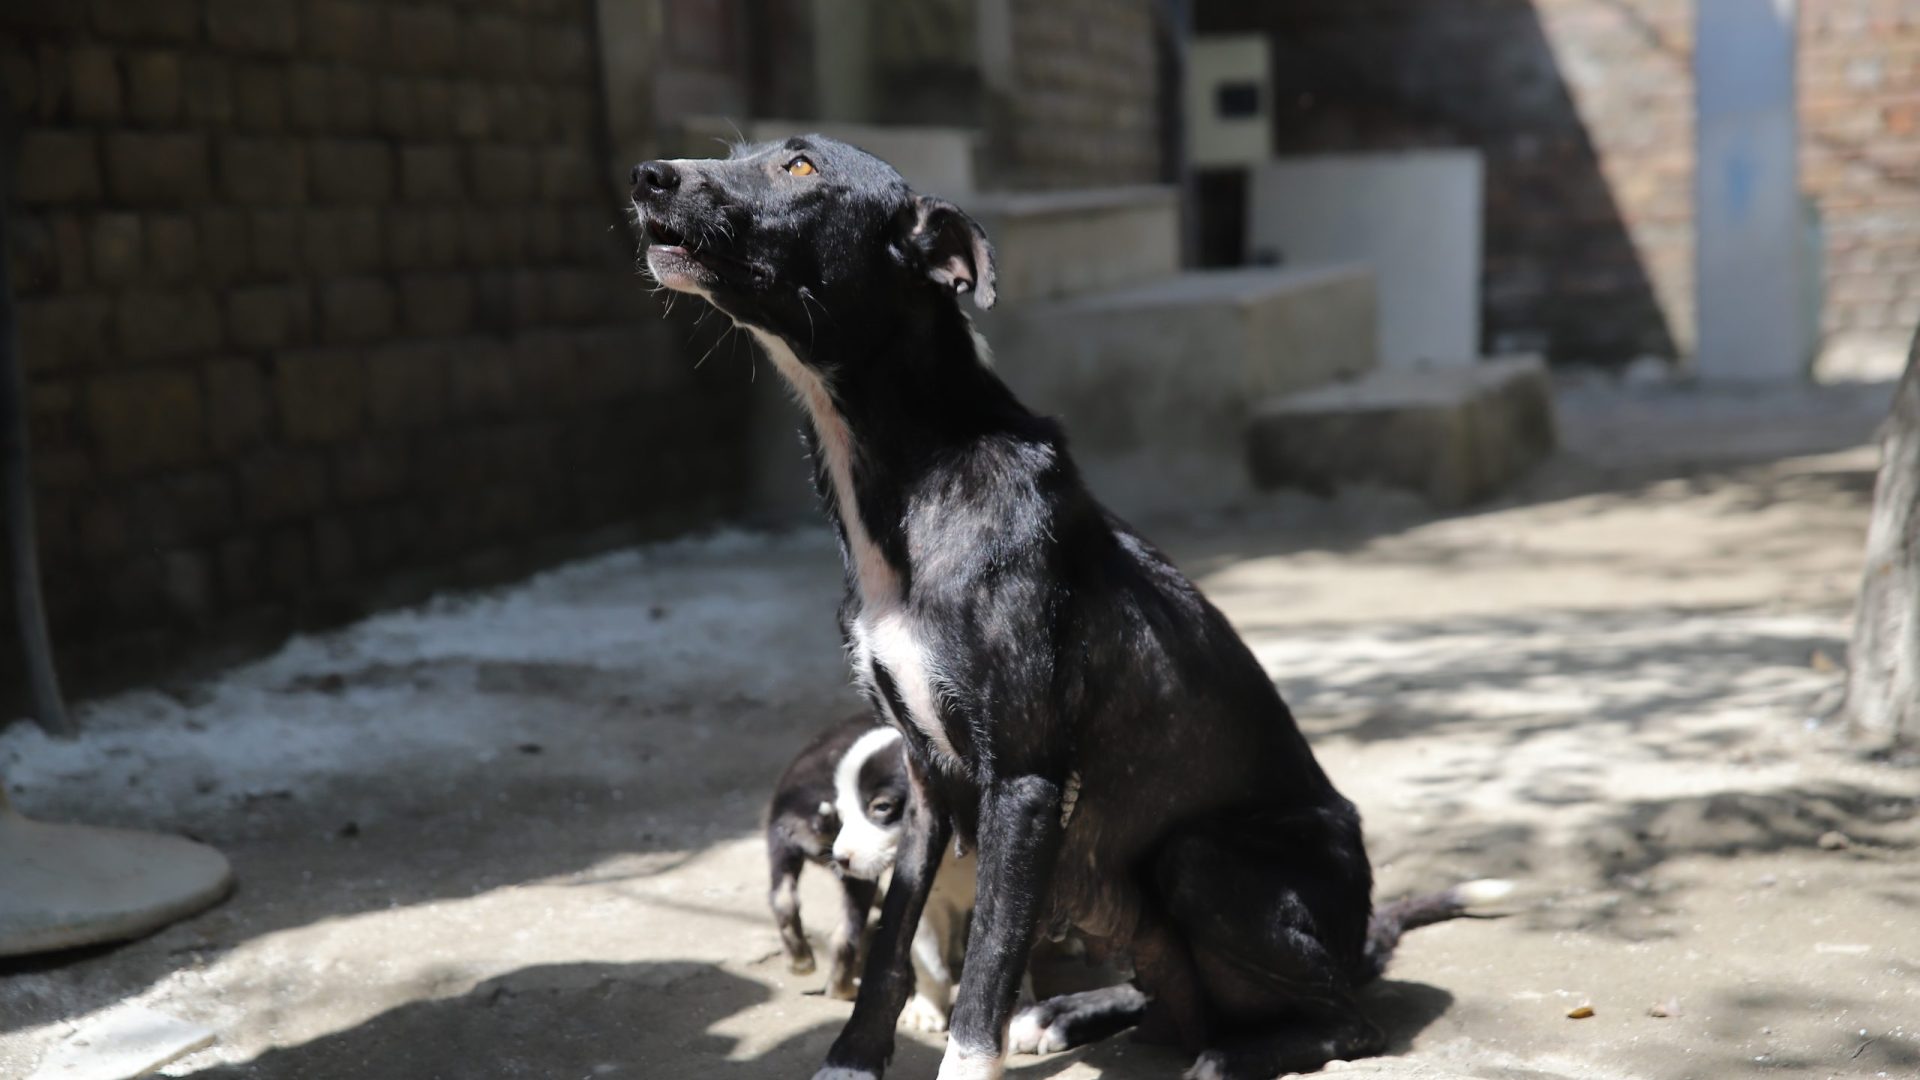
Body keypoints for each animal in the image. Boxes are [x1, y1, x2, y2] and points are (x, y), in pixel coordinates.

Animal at [637, 138, 1505, 1076]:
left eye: (799, 167)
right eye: (737, 153)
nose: (647, 176)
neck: (911, 485)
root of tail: (1362, 937)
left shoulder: (1023, 780)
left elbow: (984, 971)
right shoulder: (927, 780)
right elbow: (892, 948)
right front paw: (851, 1059)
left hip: (1201, 857)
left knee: (1345, 1023)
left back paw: (1225, 1058)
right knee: (1173, 1004)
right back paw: (1072, 1015)